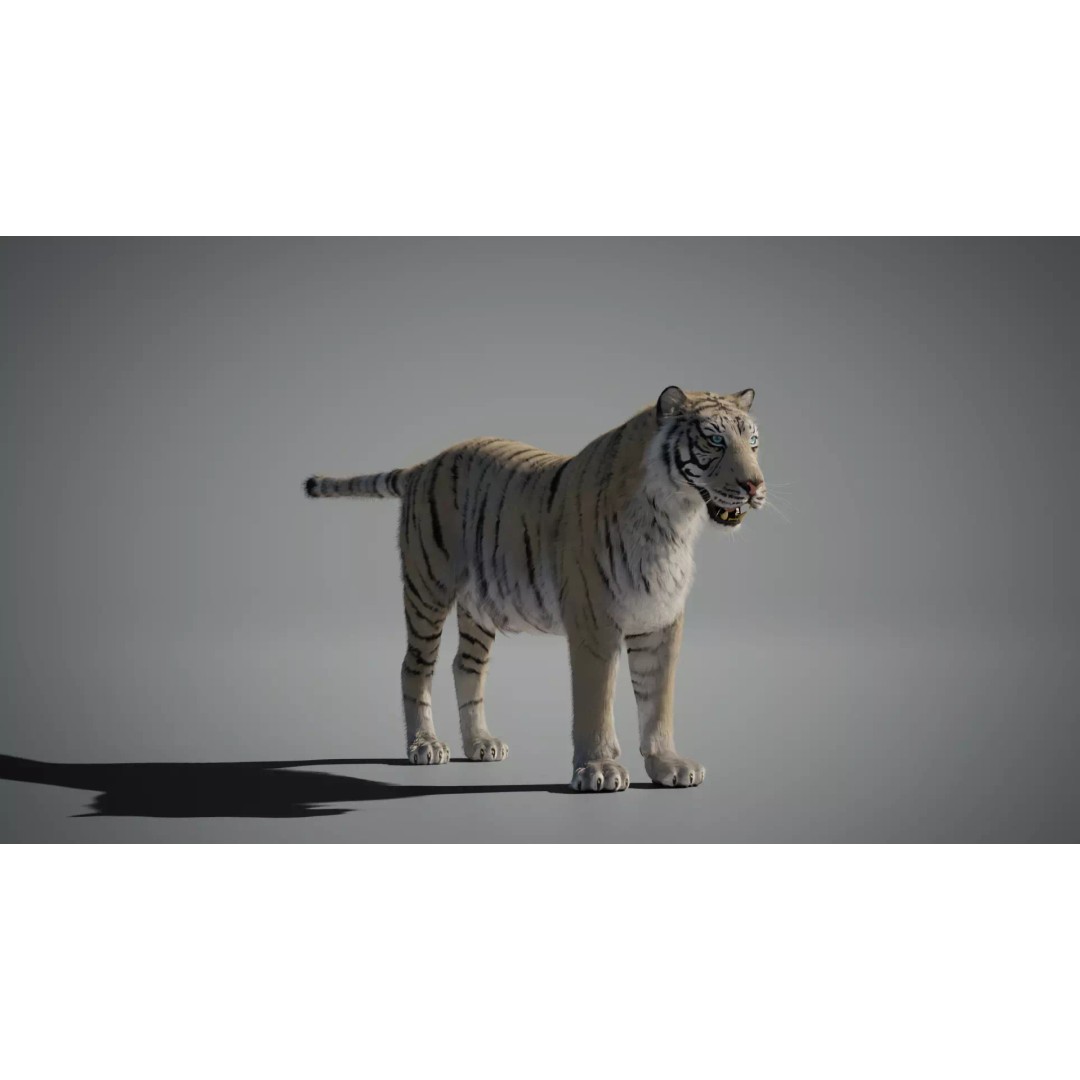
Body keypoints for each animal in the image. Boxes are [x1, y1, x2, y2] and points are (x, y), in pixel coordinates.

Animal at [305, 384, 766, 792]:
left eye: (754, 442)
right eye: (714, 440)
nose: (755, 486)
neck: (675, 521)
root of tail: (426, 464)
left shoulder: (661, 621)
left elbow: (658, 701)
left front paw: (667, 765)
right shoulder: (595, 622)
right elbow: (596, 701)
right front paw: (599, 771)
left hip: (478, 606)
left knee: (465, 666)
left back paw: (480, 744)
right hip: (427, 590)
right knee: (414, 666)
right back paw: (425, 746)